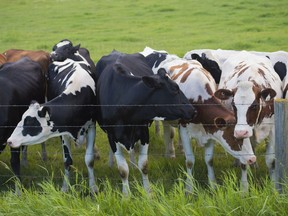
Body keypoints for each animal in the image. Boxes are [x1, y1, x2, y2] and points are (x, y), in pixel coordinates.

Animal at [7, 42, 98, 194]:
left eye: (30, 122)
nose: (9, 141)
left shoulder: (91, 126)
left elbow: (89, 160)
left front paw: (93, 189)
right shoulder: (63, 132)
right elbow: (67, 161)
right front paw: (65, 188)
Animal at [95, 50, 197, 196]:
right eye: (175, 89)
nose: (193, 110)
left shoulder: (143, 132)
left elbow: (144, 165)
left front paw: (148, 193)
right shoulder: (112, 135)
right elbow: (123, 170)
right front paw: (126, 196)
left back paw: (133, 164)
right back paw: (111, 163)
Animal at [141, 46, 255, 192]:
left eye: (247, 136)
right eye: (235, 137)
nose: (252, 159)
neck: (199, 99)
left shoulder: (210, 130)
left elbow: (209, 160)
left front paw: (213, 185)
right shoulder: (184, 128)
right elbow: (190, 161)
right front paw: (189, 188)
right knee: (168, 133)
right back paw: (170, 153)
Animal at [214, 51, 284, 184]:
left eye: (254, 105)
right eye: (233, 105)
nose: (241, 132)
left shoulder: (273, 130)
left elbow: (271, 161)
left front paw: (273, 184)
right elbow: (244, 161)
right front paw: (244, 187)